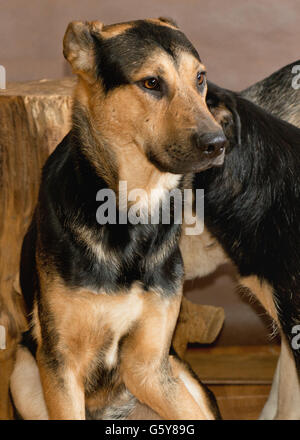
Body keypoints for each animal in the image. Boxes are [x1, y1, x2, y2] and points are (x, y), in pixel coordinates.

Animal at [12, 18, 227, 422]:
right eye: (151, 83)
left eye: (200, 79)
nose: (218, 143)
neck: (132, 212)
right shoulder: (61, 365)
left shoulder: (150, 366)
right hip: (23, 371)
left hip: (179, 375)